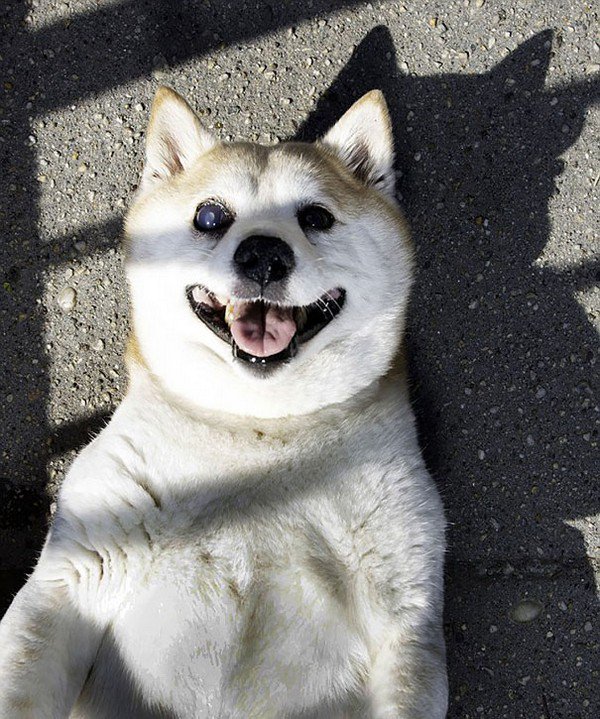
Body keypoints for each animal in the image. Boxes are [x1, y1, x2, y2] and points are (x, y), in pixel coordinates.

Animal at [0, 87, 446, 716]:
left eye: (316, 217)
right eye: (210, 217)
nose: (263, 254)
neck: (257, 431)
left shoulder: (403, 615)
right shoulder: (73, 581)